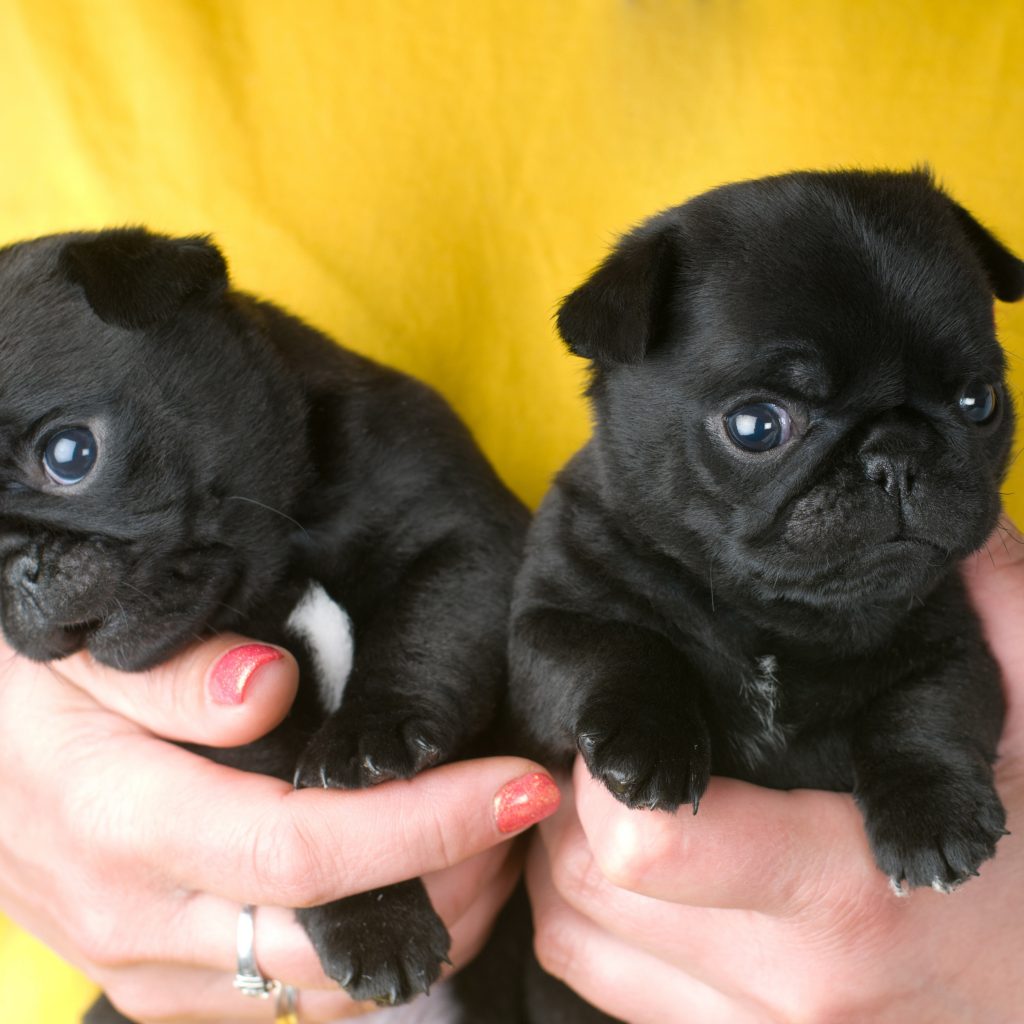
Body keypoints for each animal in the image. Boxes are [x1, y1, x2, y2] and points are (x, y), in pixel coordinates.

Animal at [0, 228, 528, 1019]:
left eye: (71, 454)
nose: (12, 564)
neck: (287, 551)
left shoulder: (464, 536)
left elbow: (426, 632)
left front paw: (372, 731)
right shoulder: (235, 728)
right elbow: (314, 820)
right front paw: (376, 920)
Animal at [507, 167, 1019, 921]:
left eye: (979, 402)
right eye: (756, 425)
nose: (897, 453)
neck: (776, 616)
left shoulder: (953, 645)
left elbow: (926, 712)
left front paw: (935, 815)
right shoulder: (552, 623)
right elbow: (613, 647)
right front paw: (650, 737)